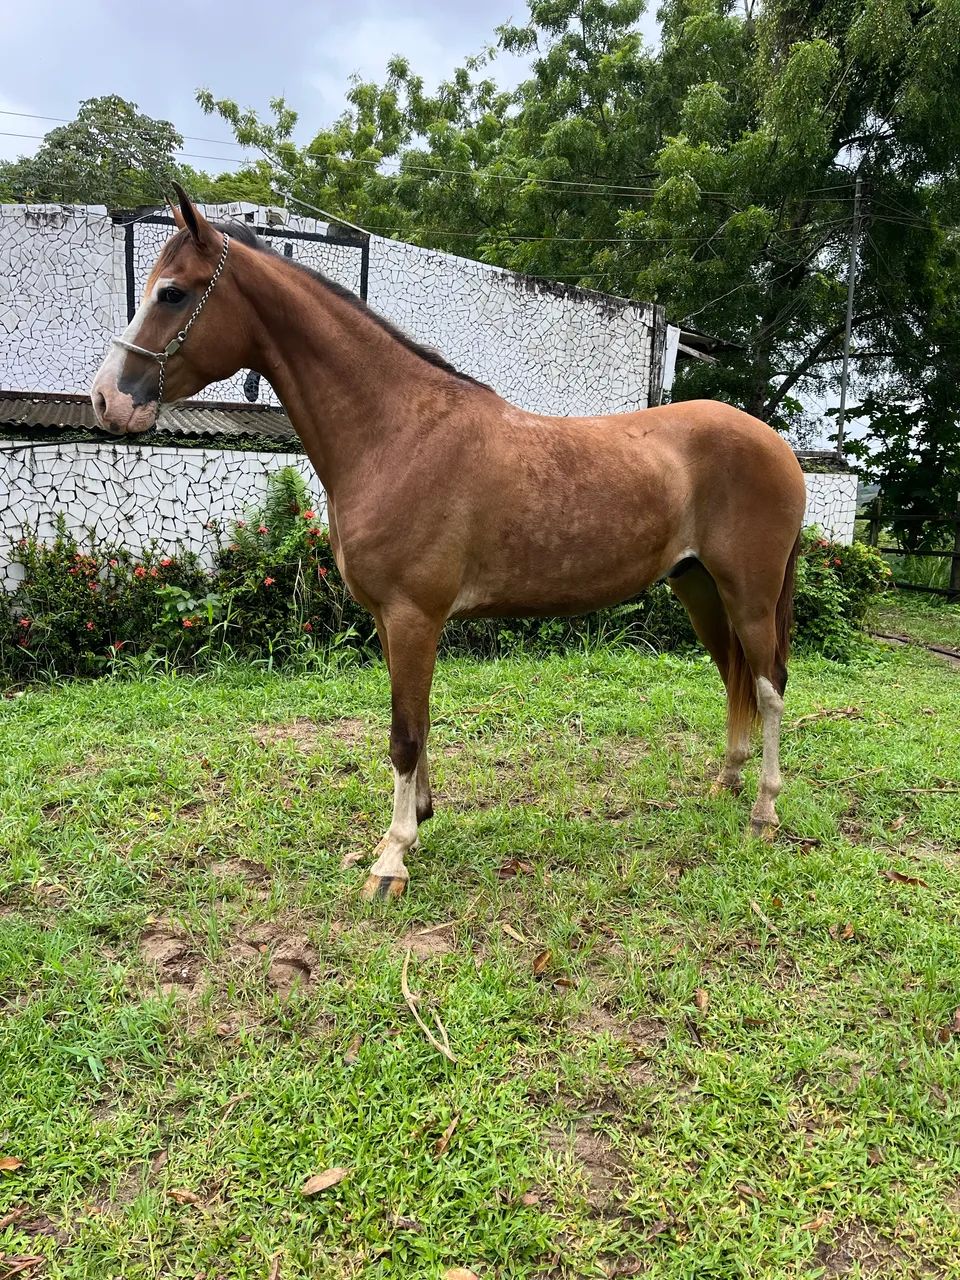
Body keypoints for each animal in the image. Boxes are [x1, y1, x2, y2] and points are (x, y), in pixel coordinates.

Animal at [91, 184, 807, 901]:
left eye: (173, 294)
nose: (104, 400)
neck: (398, 432)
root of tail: (774, 443)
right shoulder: (391, 620)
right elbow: (418, 722)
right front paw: (418, 821)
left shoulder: (414, 616)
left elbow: (404, 735)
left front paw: (391, 858)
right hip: (699, 588)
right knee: (734, 676)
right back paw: (727, 781)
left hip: (748, 592)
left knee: (770, 683)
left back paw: (765, 811)